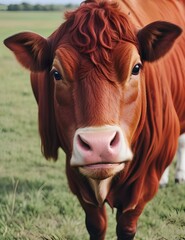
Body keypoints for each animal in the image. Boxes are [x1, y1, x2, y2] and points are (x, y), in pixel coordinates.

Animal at [3, 0, 185, 240]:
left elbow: (126, 227)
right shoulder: (76, 174)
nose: (99, 145)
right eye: (56, 73)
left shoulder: (143, 184)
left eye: (136, 68)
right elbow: (96, 225)